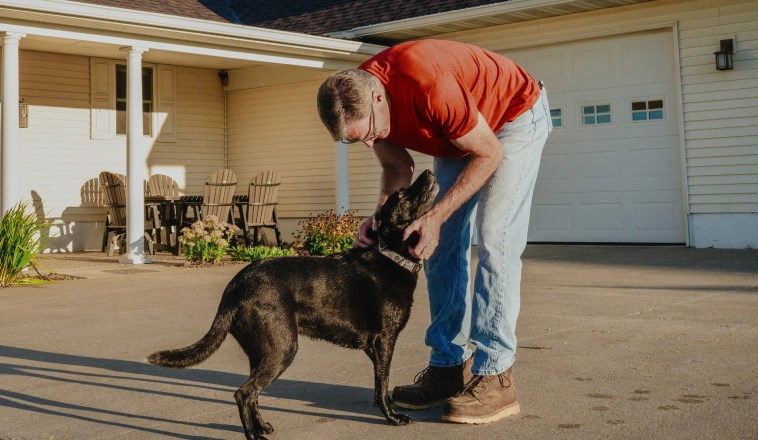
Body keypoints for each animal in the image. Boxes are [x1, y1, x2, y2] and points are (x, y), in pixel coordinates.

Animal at [148, 169, 440, 440]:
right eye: (401, 193)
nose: (427, 171)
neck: (391, 257)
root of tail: (234, 287)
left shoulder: (374, 347)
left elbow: (380, 385)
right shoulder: (384, 341)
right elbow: (383, 385)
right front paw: (392, 417)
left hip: (263, 351)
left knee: (253, 393)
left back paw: (261, 426)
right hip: (282, 348)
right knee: (244, 393)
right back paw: (253, 435)